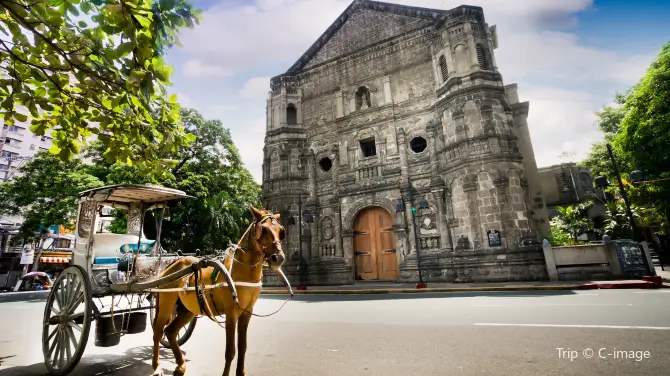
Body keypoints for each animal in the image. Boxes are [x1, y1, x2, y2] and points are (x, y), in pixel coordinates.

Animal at [151, 207, 288, 376]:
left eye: (281, 231)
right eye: (263, 229)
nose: (278, 258)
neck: (242, 271)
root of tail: (170, 267)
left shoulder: (247, 311)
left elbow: (243, 346)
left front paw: (241, 373)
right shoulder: (231, 312)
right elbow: (230, 351)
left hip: (187, 309)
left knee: (170, 331)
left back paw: (180, 365)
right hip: (166, 303)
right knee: (158, 330)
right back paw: (156, 366)